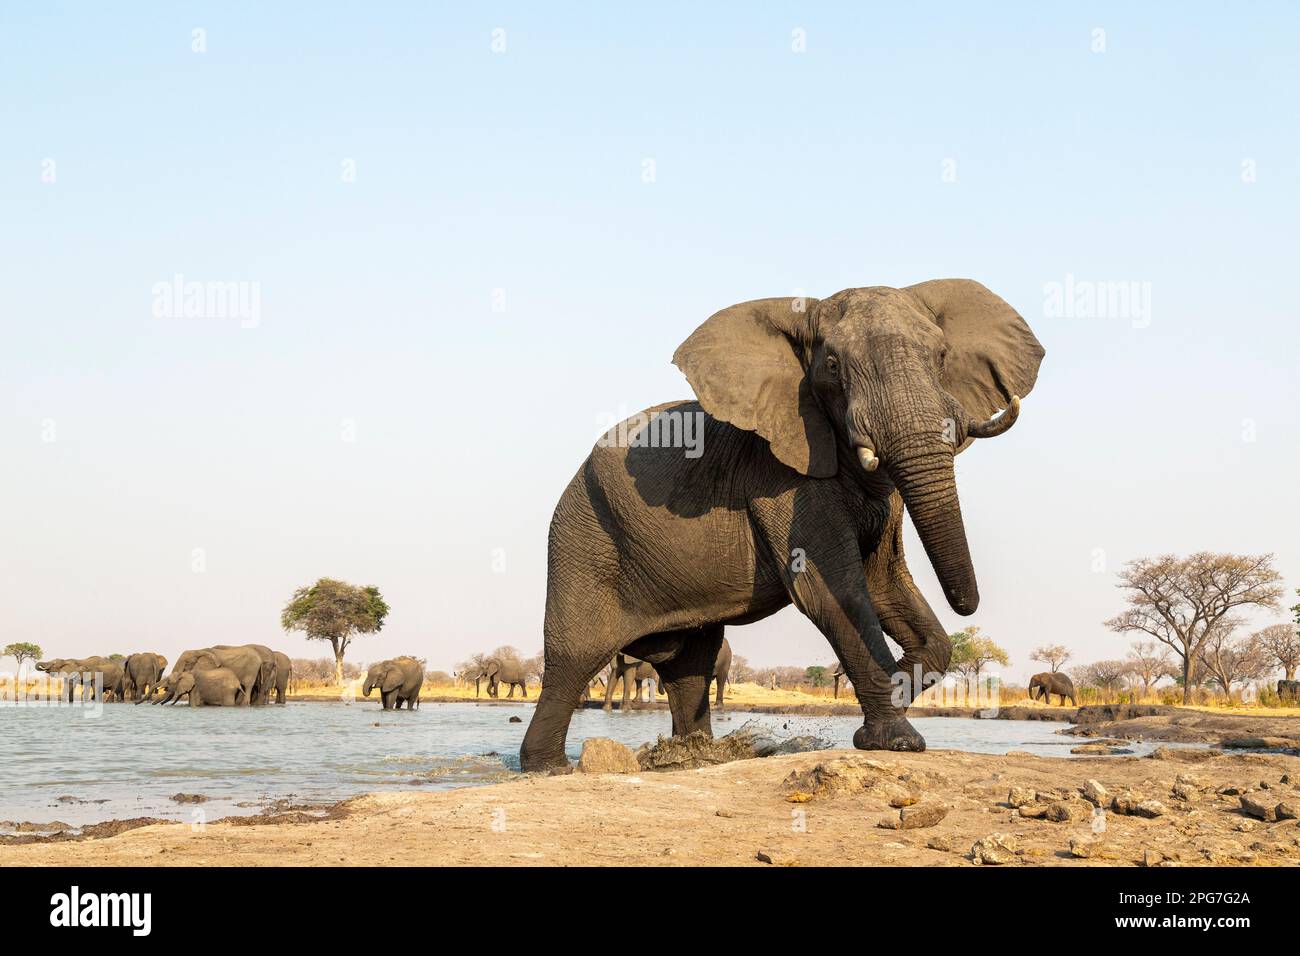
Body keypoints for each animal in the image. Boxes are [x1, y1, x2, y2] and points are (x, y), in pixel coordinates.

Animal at [520, 280, 1044, 770]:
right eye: (832, 366)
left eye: (941, 357)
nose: (968, 606)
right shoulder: (781, 478)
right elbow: (834, 592)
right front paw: (897, 740)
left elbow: (886, 586)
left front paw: (900, 683)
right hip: (583, 535)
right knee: (573, 659)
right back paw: (548, 767)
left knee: (690, 665)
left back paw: (695, 754)